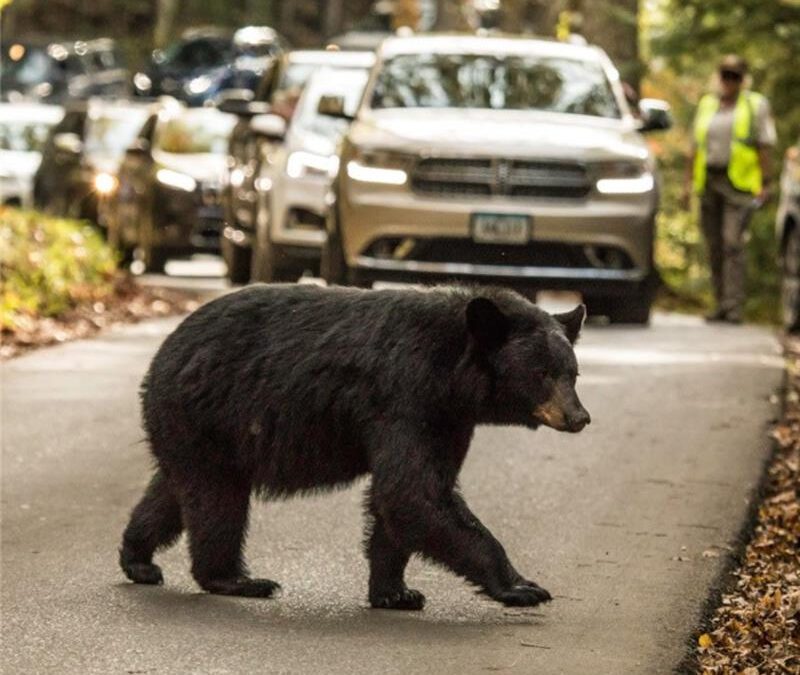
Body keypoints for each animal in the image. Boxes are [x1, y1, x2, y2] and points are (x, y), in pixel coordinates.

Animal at [119, 283, 590, 610]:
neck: (450, 371)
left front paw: (395, 592)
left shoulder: (447, 419)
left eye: (573, 373)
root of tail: (161, 356)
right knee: (217, 501)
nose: (579, 417)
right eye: (542, 373)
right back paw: (238, 580)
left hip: (195, 431)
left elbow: (406, 498)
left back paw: (138, 558)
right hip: (210, 415)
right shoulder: (404, 397)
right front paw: (522, 586)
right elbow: (411, 492)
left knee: (174, 491)